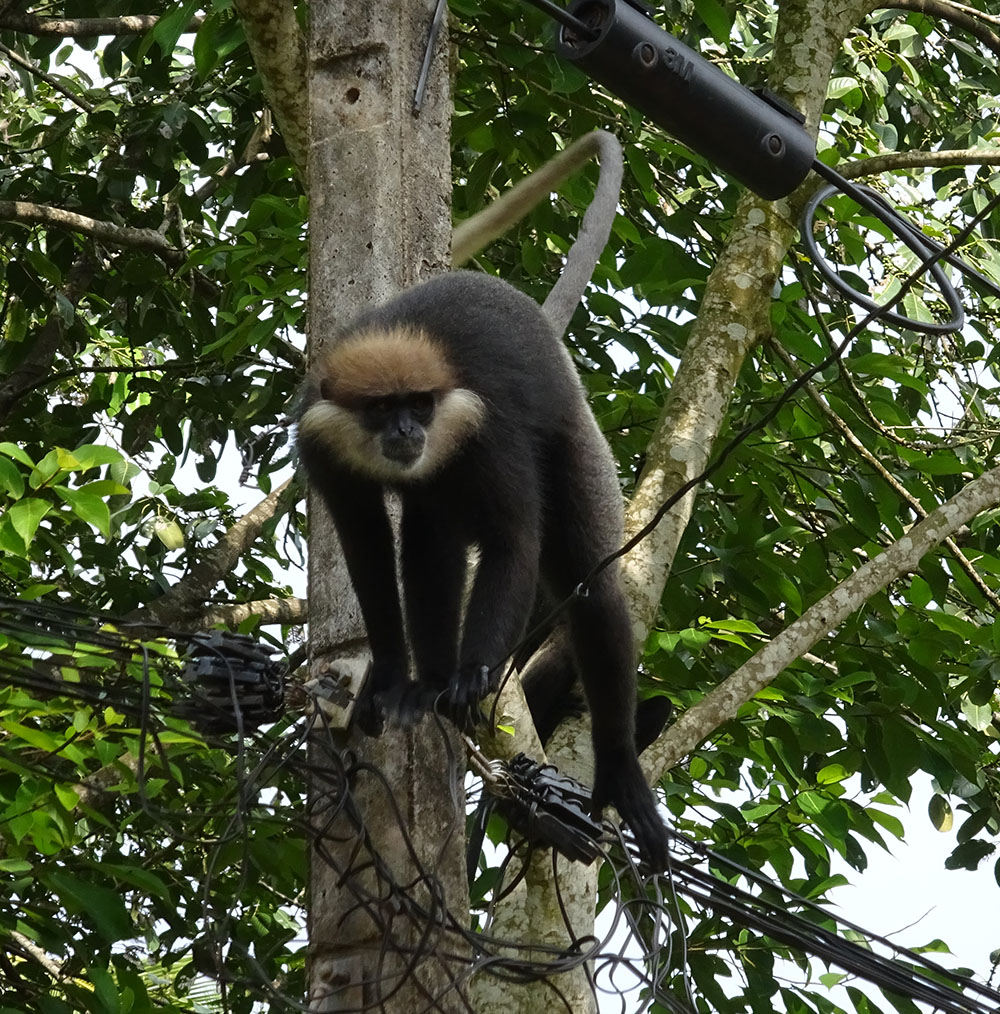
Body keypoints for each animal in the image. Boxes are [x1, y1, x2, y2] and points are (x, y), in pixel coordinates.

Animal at [296, 133, 671, 868]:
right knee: (426, 539)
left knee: (591, 592)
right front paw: (393, 677)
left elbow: (513, 541)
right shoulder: (322, 444)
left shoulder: (489, 428)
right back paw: (423, 685)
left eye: (418, 404)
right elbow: (367, 547)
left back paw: (617, 771)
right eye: (381, 409)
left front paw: (472, 677)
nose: (407, 432)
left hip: (578, 449)